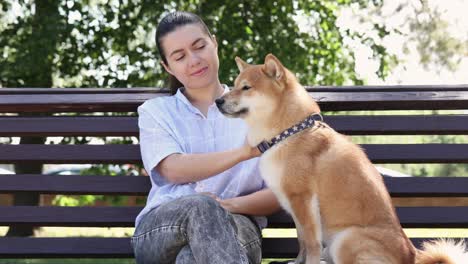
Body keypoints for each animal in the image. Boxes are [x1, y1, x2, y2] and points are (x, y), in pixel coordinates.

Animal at [217, 54, 468, 264]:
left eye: (246, 88)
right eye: (235, 85)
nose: (218, 101)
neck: (288, 133)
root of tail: (412, 258)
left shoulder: (303, 200)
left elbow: (311, 243)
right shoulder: (295, 205)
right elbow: (302, 241)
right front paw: (297, 262)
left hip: (345, 239)